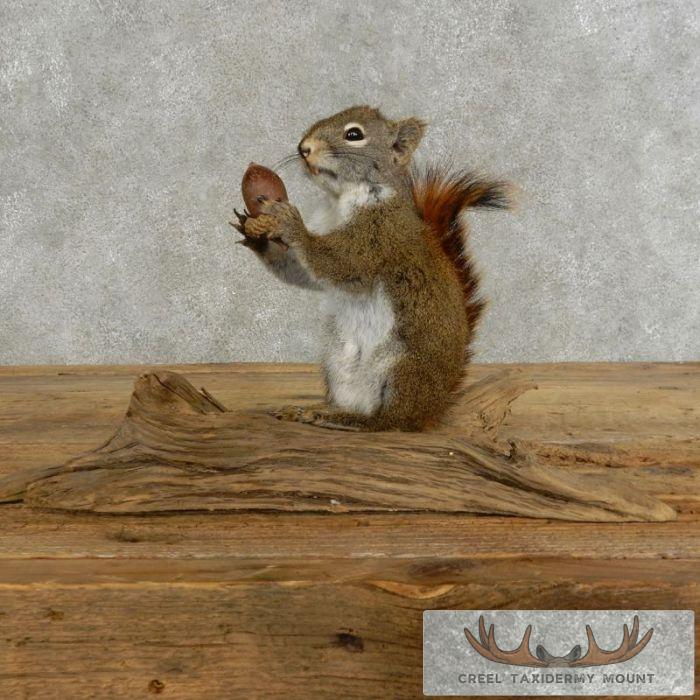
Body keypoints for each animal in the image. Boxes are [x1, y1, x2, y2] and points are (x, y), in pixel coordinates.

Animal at [233, 105, 509, 431]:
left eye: (354, 134)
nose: (303, 148)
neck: (342, 198)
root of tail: (433, 407)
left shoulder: (377, 239)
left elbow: (343, 263)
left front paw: (291, 224)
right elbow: (303, 273)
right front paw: (256, 235)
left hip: (404, 371)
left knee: (387, 422)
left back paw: (348, 420)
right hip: (335, 363)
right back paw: (316, 411)